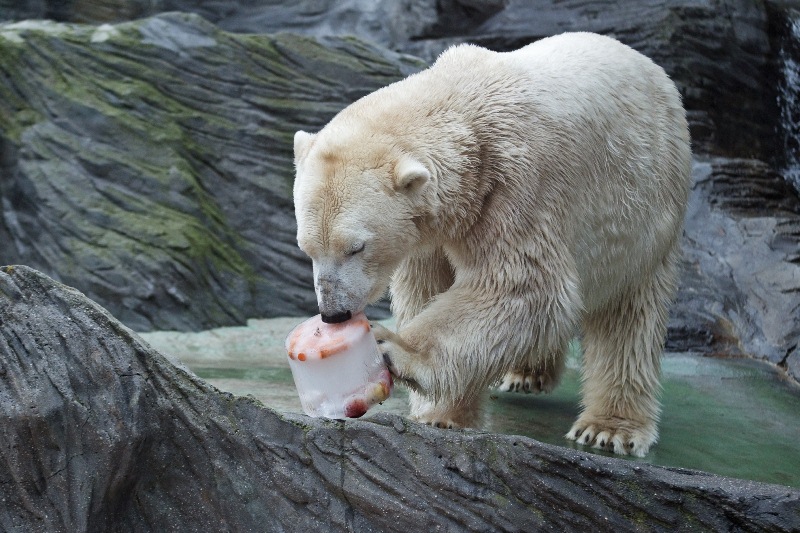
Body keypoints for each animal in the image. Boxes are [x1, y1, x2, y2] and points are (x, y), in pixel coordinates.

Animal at [290, 32, 692, 458]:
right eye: (307, 248)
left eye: (356, 247)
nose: (333, 314)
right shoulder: (431, 231)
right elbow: (428, 288)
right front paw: (441, 413)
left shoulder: (518, 189)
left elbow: (522, 286)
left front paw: (395, 351)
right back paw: (526, 373)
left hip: (644, 211)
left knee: (628, 317)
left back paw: (609, 428)